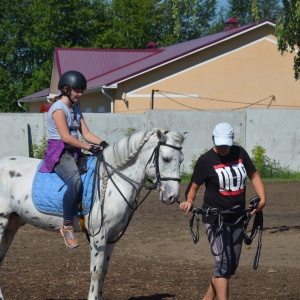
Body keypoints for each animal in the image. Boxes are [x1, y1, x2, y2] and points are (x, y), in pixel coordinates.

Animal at [0, 128, 188, 300]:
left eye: (181, 160)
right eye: (166, 159)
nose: (172, 196)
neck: (113, 180)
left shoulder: (112, 237)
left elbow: (104, 271)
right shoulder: (99, 236)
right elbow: (96, 273)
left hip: (11, 225)